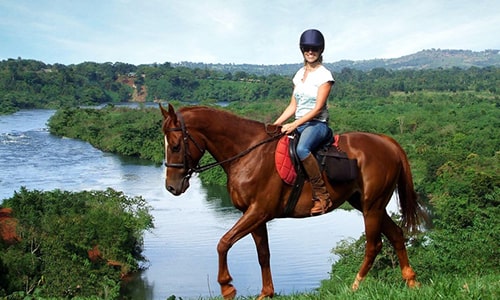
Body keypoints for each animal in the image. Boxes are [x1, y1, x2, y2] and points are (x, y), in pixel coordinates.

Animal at [160, 103, 426, 300]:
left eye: (175, 146)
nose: (172, 187)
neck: (249, 154)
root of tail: (388, 142)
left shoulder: (258, 212)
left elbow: (223, 243)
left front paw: (227, 287)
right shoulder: (255, 216)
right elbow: (263, 254)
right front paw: (266, 293)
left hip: (372, 206)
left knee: (374, 245)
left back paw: (355, 286)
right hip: (368, 204)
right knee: (396, 234)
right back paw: (411, 281)